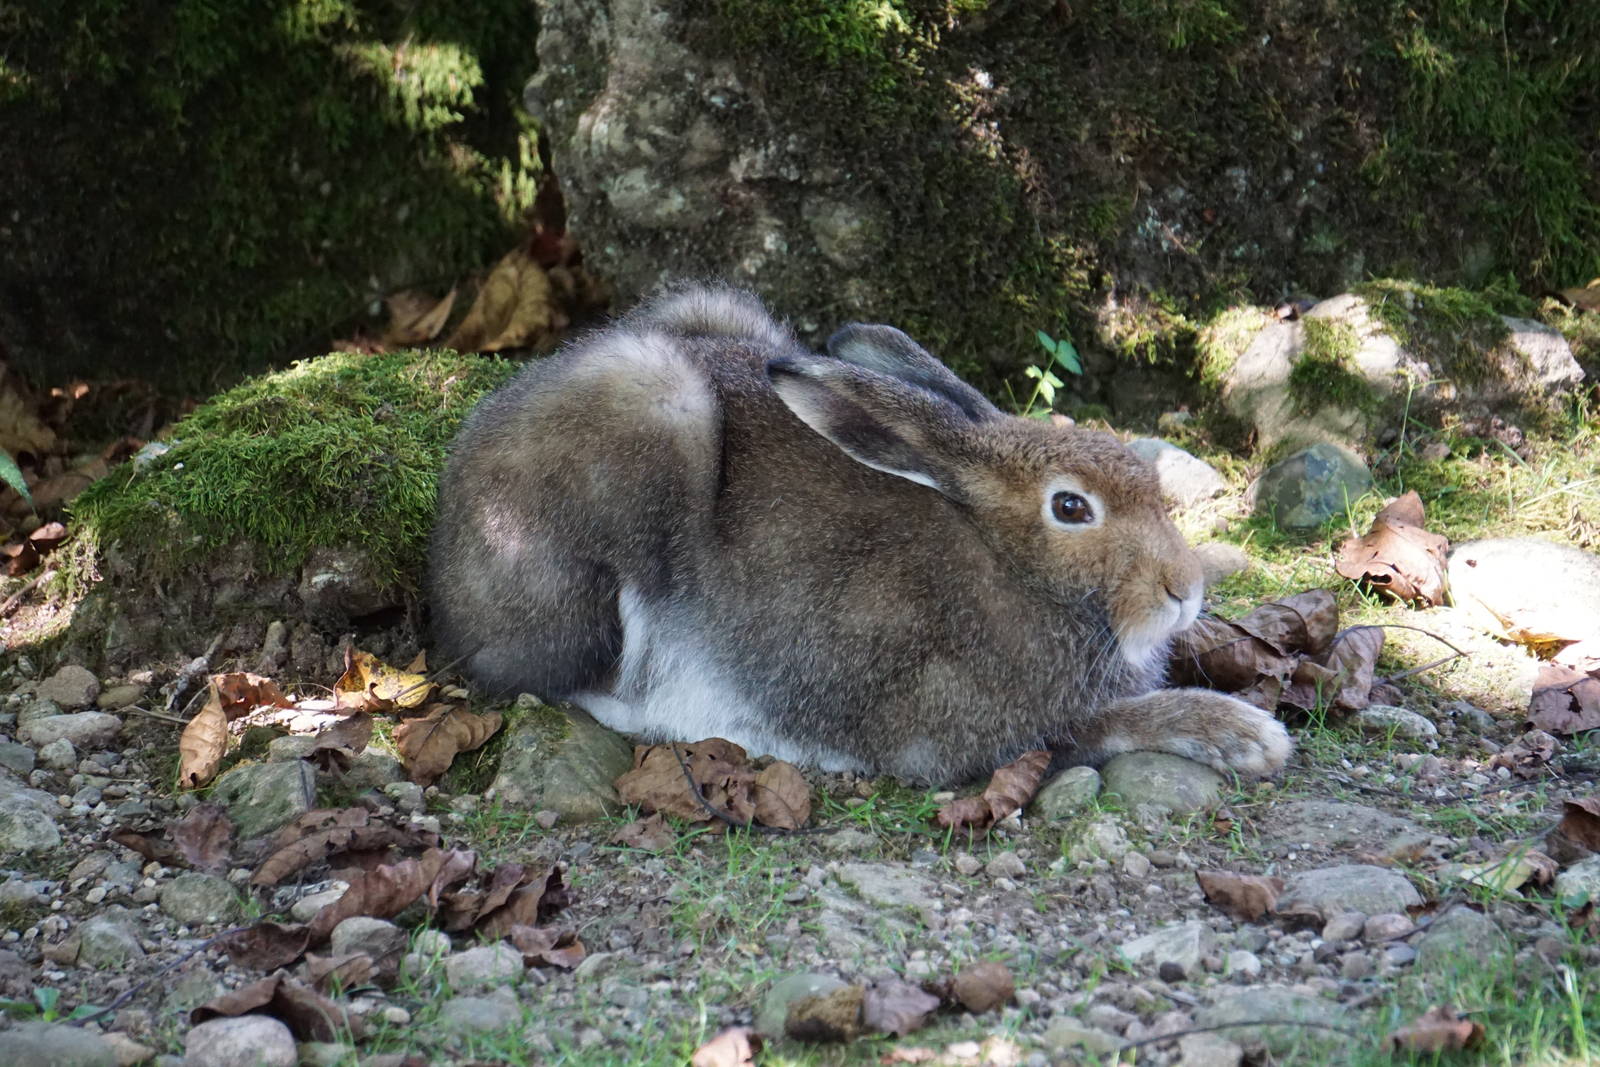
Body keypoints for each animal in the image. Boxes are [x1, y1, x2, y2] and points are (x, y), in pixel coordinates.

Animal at [428, 286, 1291, 785]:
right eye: (1071, 508)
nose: (1185, 592)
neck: (1001, 560)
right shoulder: (962, 736)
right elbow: (1101, 727)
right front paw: (1249, 734)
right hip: (645, 426)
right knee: (552, 674)